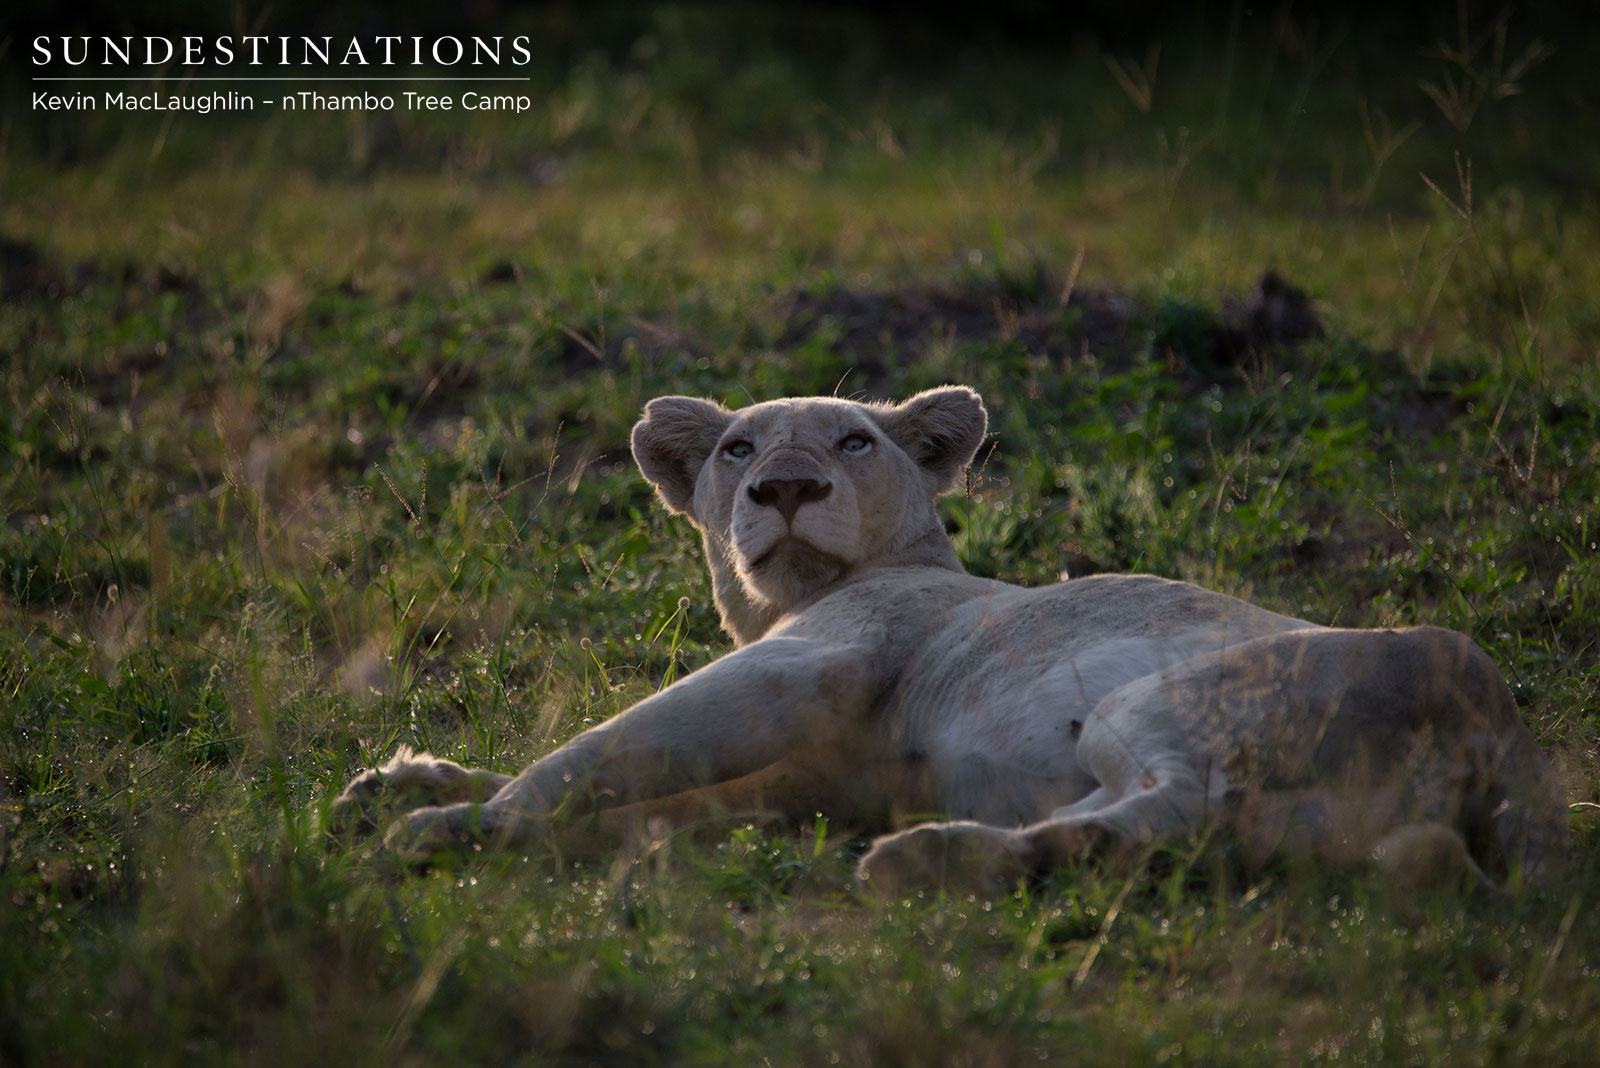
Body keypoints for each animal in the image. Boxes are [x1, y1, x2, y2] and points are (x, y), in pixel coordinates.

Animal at [331, 386, 1568, 897]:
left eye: (851, 440)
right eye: (737, 449)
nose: (785, 487)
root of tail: (1508, 745)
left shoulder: (806, 665)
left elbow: (592, 752)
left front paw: (453, 824)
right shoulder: (801, 780)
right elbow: (630, 790)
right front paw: (401, 783)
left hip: (1159, 703)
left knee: (1182, 805)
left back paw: (922, 860)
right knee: (1165, 838)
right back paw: (948, 852)